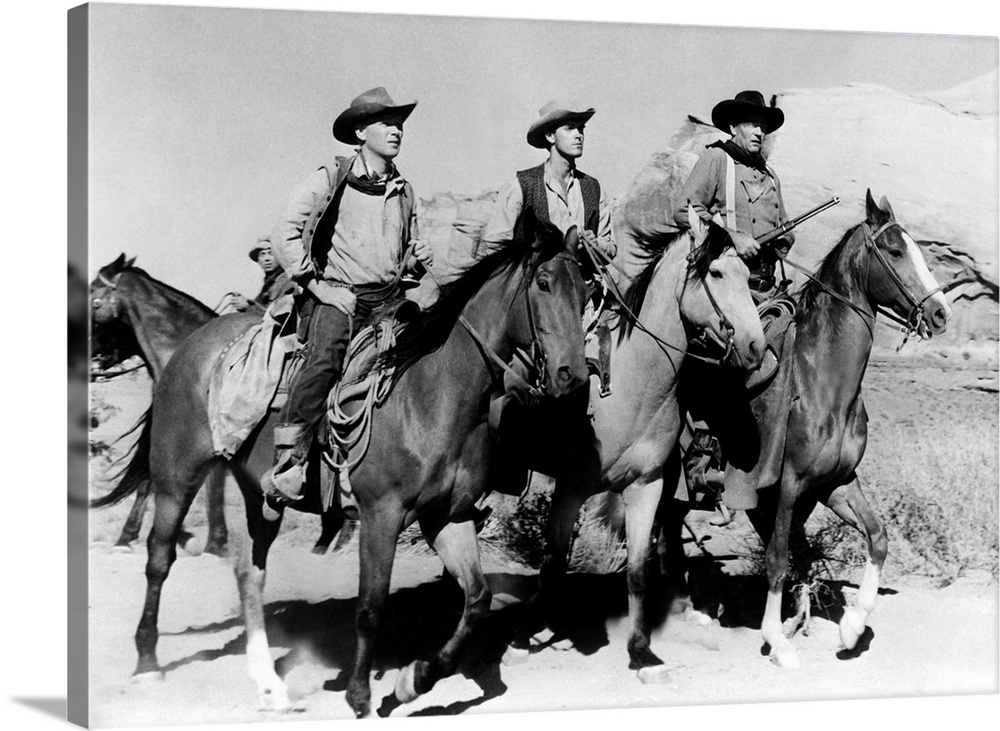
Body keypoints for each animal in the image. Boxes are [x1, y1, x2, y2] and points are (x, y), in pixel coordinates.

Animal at [105, 226, 588, 716]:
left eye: (584, 290)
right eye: (544, 284)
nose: (574, 376)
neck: (431, 393)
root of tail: (190, 347)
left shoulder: (447, 518)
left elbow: (477, 600)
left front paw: (412, 681)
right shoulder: (381, 516)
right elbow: (370, 608)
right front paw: (360, 695)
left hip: (260, 494)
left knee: (250, 573)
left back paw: (268, 683)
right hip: (177, 474)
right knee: (159, 558)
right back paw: (147, 663)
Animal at [668, 190, 948, 668]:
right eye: (894, 250)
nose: (940, 312)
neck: (822, 383)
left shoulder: (836, 482)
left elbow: (876, 537)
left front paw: (849, 627)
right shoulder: (786, 486)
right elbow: (779, 556)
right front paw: (778, 641)